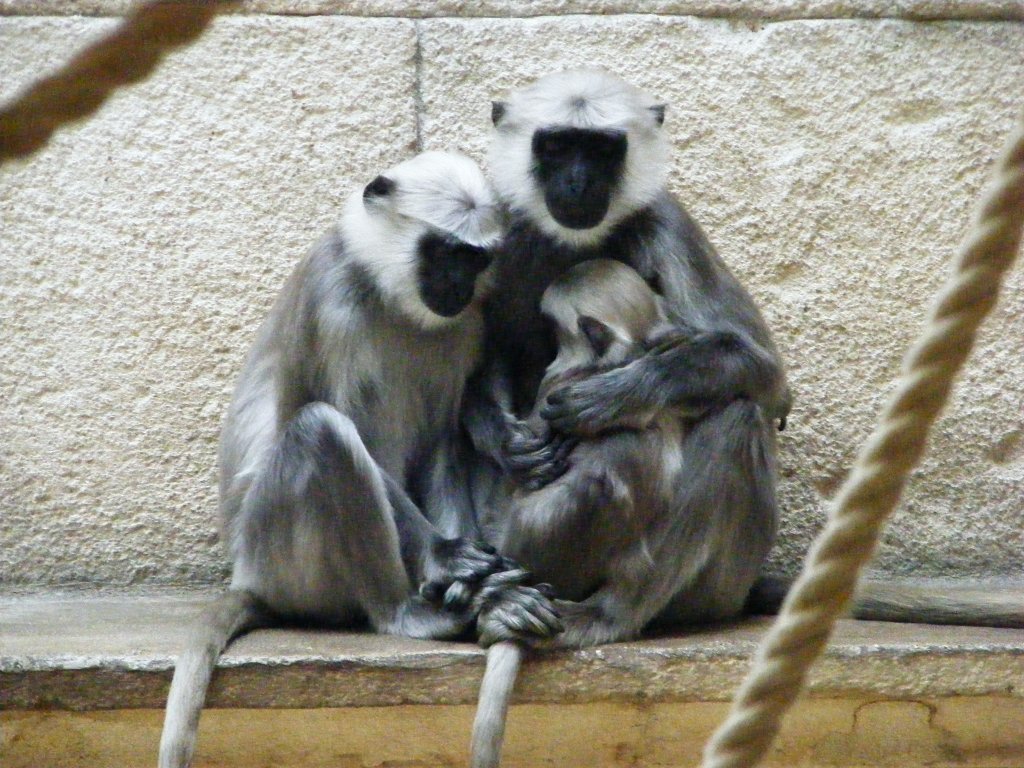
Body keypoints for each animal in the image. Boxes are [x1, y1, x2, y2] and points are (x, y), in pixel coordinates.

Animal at [159, 150, 561, 768]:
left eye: (475, 258)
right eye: (444, 252)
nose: (459, 283)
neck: (387, 294)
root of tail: (248, 577)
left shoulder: (466, 323)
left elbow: (440, 444)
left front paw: (478, 577)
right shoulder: (329, 296)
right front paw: (450, 559)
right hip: (279, 554)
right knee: (318, 428)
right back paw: (413, 615)